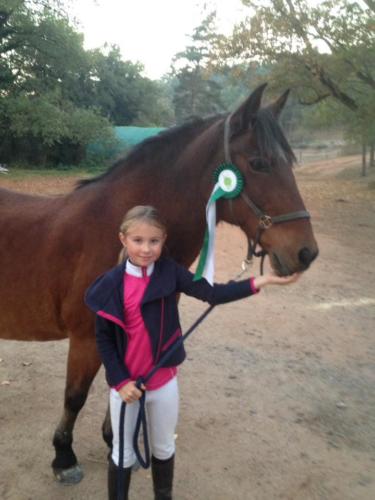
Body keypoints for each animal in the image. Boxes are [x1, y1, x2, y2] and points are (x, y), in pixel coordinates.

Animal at [0, 84, 318, 482]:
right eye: (260, 163)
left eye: (288, 161)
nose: (306, 253)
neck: (117, 231)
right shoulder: (88, 337)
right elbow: (76, 395)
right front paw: (64, 457)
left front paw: (116, 442)